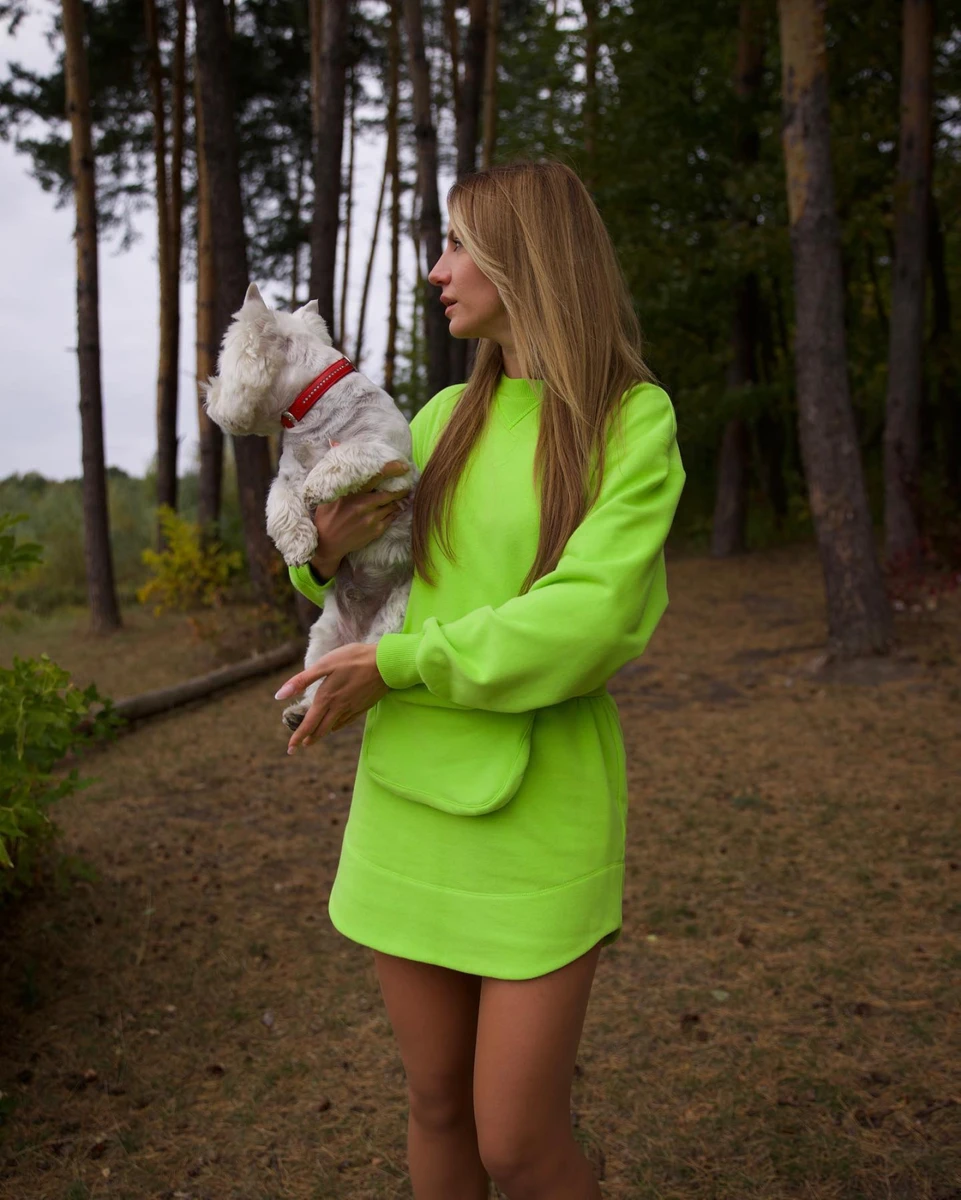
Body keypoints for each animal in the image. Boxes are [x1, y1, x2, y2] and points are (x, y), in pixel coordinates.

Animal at [204, 283, 417, 732]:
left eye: (223, 365)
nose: (208, 398)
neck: (312, 407)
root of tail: (356, 632)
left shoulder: (392, 464)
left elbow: (346, 455)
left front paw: (319, 485)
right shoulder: (284, 476)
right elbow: (281, 504)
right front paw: (299, 544)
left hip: (392, 619)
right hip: (323, 637)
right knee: (321, 682)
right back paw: (299, 712)